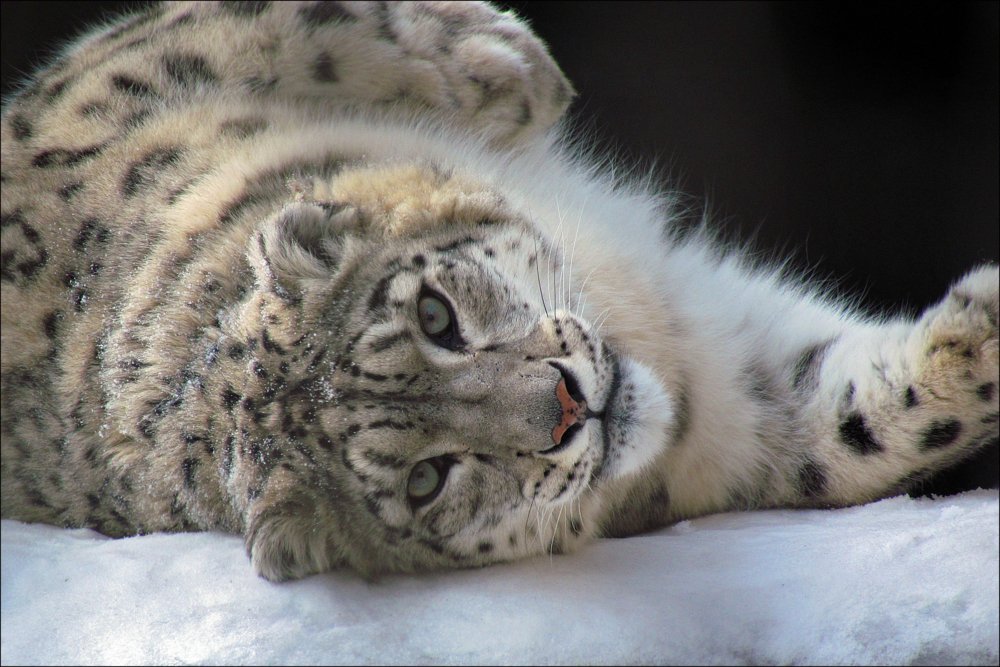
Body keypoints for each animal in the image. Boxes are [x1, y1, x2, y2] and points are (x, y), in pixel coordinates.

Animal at [1, 0, 992, 580]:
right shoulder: (744, 425)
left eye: (435, 314)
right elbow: (856, 432)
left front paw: (503, 64)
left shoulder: (89, 93)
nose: (569, 404)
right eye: (426, 478)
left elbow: (273, 18)